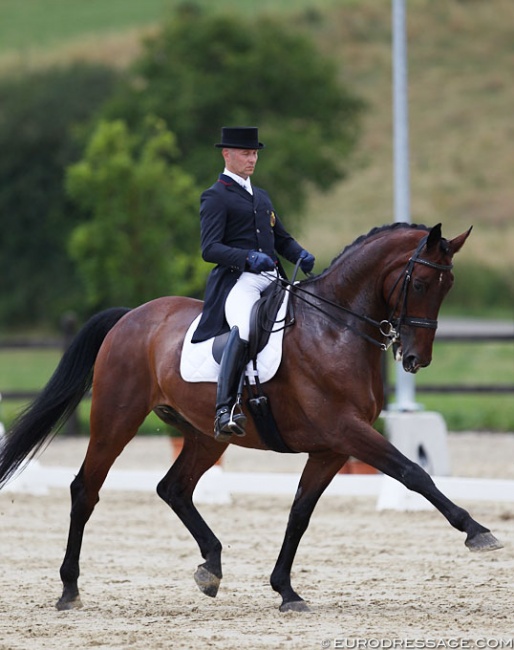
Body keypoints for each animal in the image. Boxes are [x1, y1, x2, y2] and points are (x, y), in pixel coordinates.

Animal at [0, 220, 500, 612]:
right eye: (419, 284)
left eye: (448, 288)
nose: (416, 359)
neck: (335, 328)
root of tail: (130, 317)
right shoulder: (347, 431)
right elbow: (413, 472)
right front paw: (477, 531)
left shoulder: (332, 447)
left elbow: (300, 512)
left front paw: (286, 591)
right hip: (115, 419)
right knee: (86, 488)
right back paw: (69, 589)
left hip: (206, 435)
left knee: (173, 488)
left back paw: (211, 567)